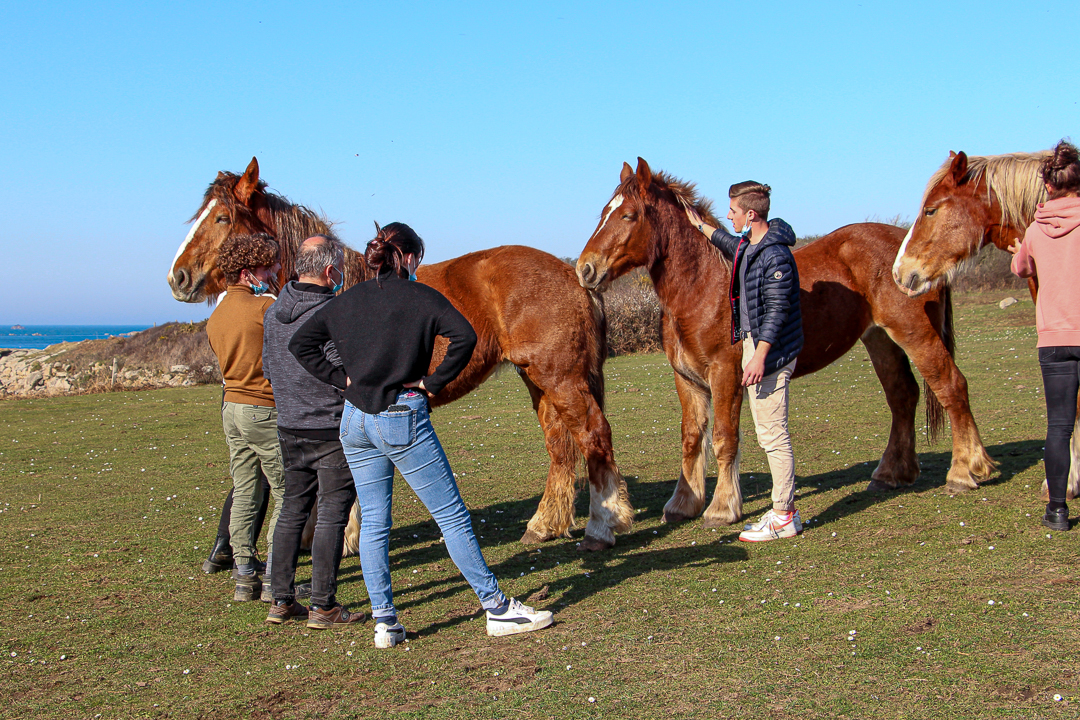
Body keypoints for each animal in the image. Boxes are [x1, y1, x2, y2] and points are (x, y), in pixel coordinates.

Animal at [167, 158, 630, 552]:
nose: (178, 277)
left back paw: (603, 526)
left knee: (594, 436)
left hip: (561, 378)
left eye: (222, 218)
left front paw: (343, 537)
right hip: (539, 380)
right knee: (561, 446)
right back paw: (544, 525)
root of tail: (576, 276)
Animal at [578, 160, 989, 526]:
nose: (586, 269)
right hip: (880, 341)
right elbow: (692, 439)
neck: (704, 286)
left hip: (915, 334)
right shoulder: (687, 380)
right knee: (903, 396)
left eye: (628, 215)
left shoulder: (726, 375)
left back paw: (966, 472)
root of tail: (914, 258)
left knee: (951, 386)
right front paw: (683, 505)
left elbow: (724, 438)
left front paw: (721, 508)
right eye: (604, 212)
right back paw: (891, 474)